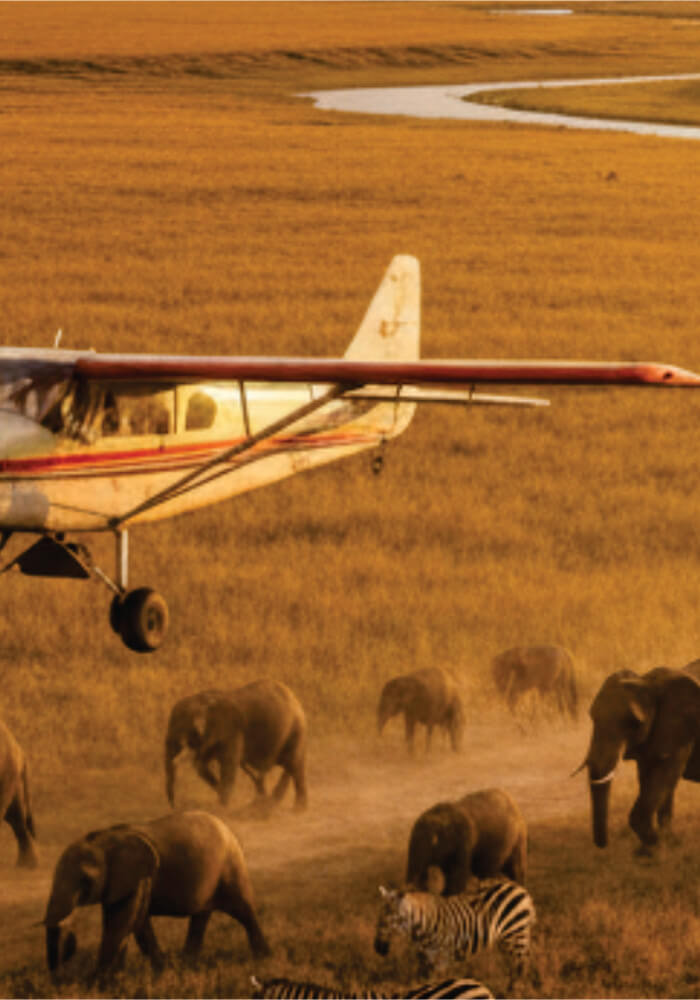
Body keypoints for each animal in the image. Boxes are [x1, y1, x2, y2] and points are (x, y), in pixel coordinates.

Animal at [43, 810, 270, 979]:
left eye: (85, 880)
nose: (58, 976)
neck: (104, 839)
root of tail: (227, 828)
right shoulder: (120, 881)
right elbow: (131, 922)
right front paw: (150, 972)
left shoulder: (140, 877)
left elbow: (123, 921)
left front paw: (100, 982)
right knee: (201, 916)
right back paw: (187, 964)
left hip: (231, 866)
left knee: (244, 911)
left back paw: (264, 959)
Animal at [165, 679, 308, 810]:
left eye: (182, 729)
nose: (175, 807)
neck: (201, 700)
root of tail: (295, 699)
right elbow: (201, 765)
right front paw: (221, 795)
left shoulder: (232, 730)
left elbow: (228, 764)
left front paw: (222, 807)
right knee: (288, 766)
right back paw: (266, 802)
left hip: (295, 729)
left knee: (294, 764)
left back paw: (293, 809)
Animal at [373, 878, 535, 983]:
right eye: (378, 918)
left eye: (388, 921)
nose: (378, 949)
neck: (422, 927)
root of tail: (520, 888)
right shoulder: (426, 958)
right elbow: (424, 982)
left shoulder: (441, 958)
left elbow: (437, 983)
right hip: (507, 939)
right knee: (517, 965)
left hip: (516, 934)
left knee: (521, 966)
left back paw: (515, 991)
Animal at [578, 660, 700, 852]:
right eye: (593, 718)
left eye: (633, 723)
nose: (603, 844)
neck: (647, 682)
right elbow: (650, 779)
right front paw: (666, 844)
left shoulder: (681, 731)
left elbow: (664, 776)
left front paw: (655, 847)